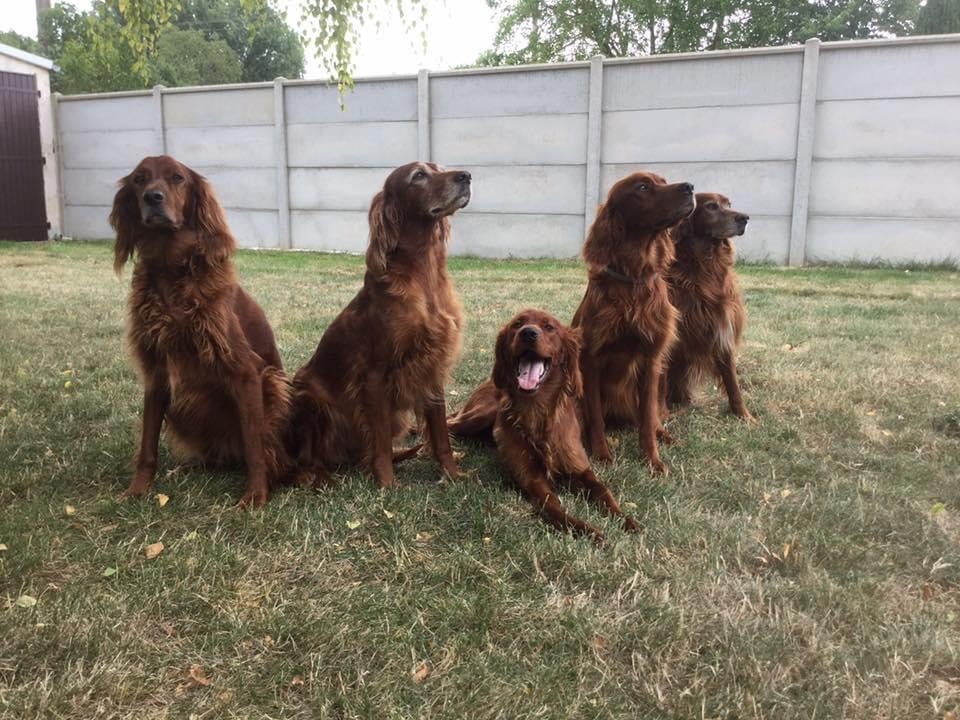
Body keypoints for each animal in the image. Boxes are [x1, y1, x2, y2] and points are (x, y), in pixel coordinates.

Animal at [110, 155, 290, 510]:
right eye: (139, 179)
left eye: (177, 178)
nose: (153, 197)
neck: (172, 271)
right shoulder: (156, 373)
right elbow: (147, 445)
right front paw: (138, 489)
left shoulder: (246, 373)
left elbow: (255, 445)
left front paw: (256, 495)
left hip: (272, 385)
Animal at [292, 163, 472, 490]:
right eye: (418, 176)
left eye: (439, 168)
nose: (466, 176)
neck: (422, 275)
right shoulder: (374, 376)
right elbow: (380, 442)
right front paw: (387, 484)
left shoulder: (432, 367)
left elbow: (441, 435)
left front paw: (452, 474)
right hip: (307, 397)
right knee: (306, 460)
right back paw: (321, 478)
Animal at [572, 169, 692, 472]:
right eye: (643, 187)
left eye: (664, 182)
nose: (690, 187)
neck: (633, 281)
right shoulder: (591, 359)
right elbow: (595, 416)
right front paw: (602, 454)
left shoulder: (651, 360)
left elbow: (648, 418)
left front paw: (652, 459)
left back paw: (665, 435)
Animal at [664, 191, 752, 422]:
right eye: (711, 206)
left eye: (729, 204)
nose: (745, 218)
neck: (706, 268)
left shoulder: (723, 328)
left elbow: (732, 382)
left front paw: (744, 416)